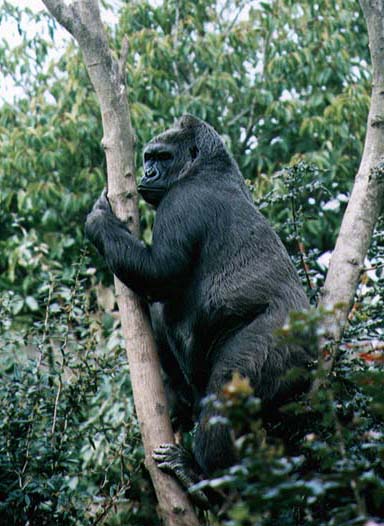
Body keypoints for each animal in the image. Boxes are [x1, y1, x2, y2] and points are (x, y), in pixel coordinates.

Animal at [85, 114, 314, 508]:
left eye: (162, 156)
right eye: (148, 157)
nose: (147, 172)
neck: (206, 166)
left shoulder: (182, 203)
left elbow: (160, 273)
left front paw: (99, 219)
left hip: (281, 346)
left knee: (226, 396)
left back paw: (205, 479)